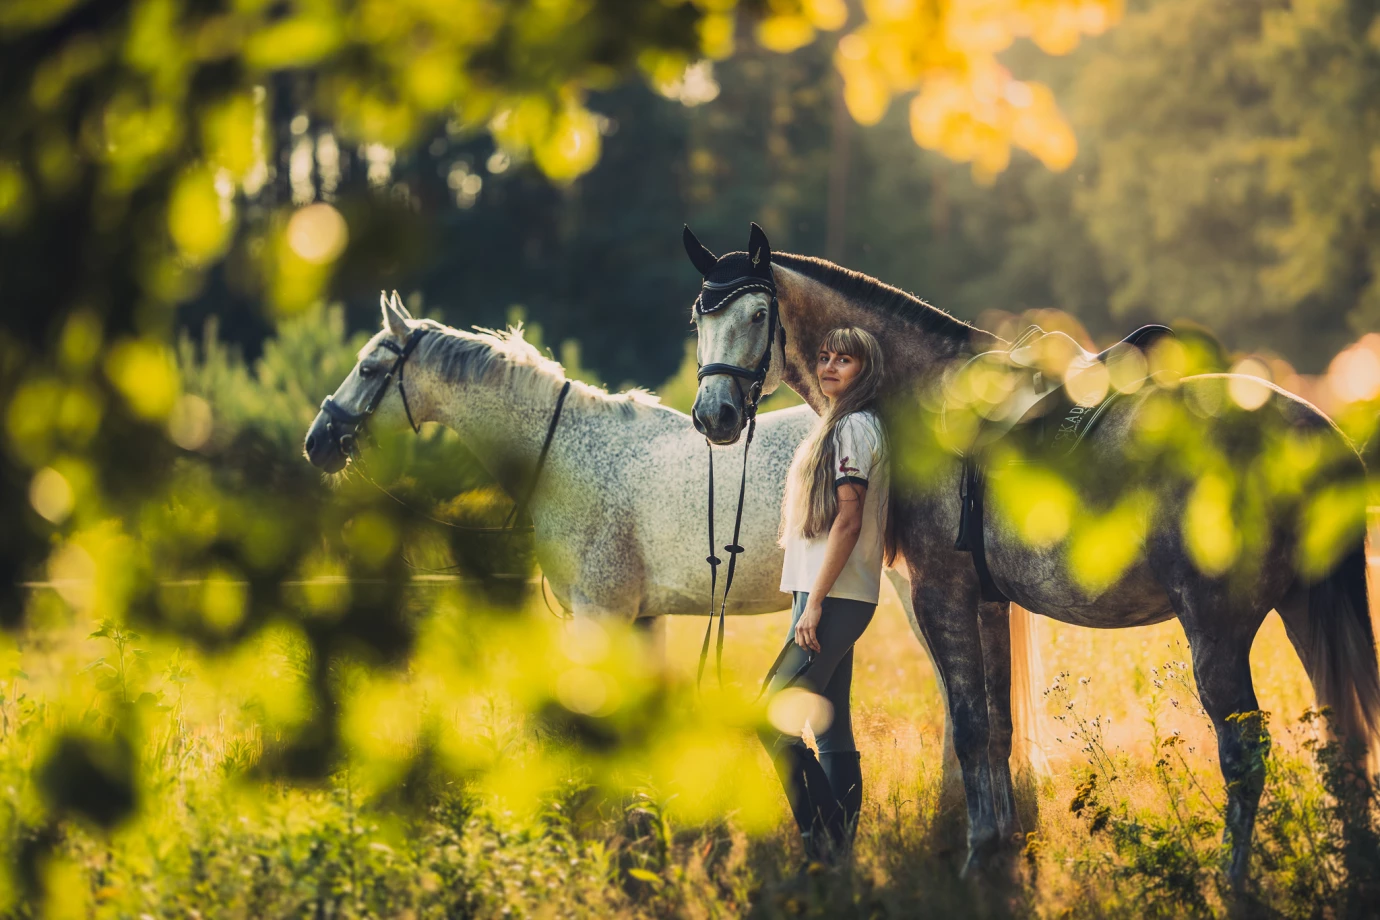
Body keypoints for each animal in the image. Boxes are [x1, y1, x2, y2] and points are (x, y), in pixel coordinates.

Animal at [681, 220, 1380, 882]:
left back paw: (1233, 881)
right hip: (1300, 610)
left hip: (1218, 628)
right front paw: (997, 847)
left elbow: (967, 728)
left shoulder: (942, 595)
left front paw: (974, 858)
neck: (921, 399)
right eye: (699, 317)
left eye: (758, 315)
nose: (714, 415)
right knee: (1344, 742)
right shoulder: (988, 603)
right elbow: (997, 730)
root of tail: (1312, 430)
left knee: (1244, 754)